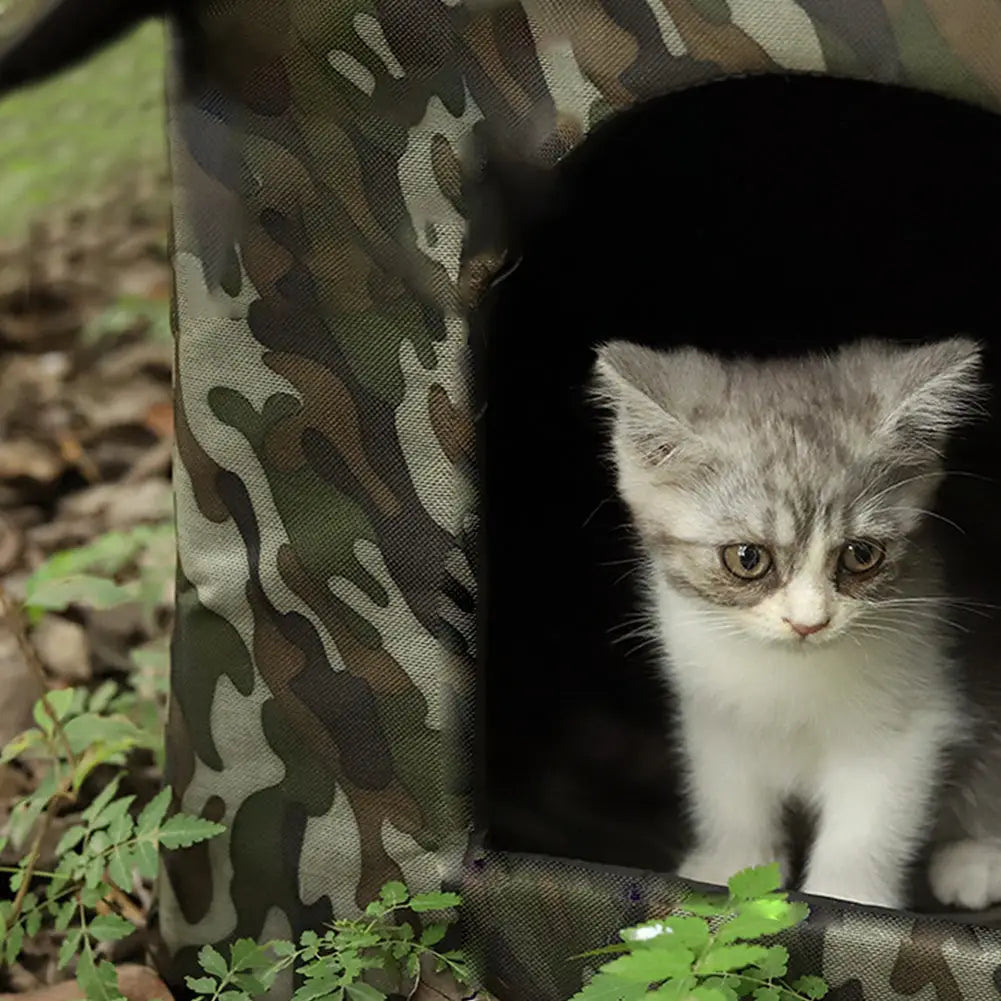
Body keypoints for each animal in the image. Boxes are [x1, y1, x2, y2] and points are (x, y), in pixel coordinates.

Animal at [588, 336, 1001, 908]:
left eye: (860, 555)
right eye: (747, 558)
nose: (809, 622)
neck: (788, 674)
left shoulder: (909, 716)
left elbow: (871, 820)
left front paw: (849, 895)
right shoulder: (712, 704)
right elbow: (728, 788)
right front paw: (732, 866)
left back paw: (977, 858)